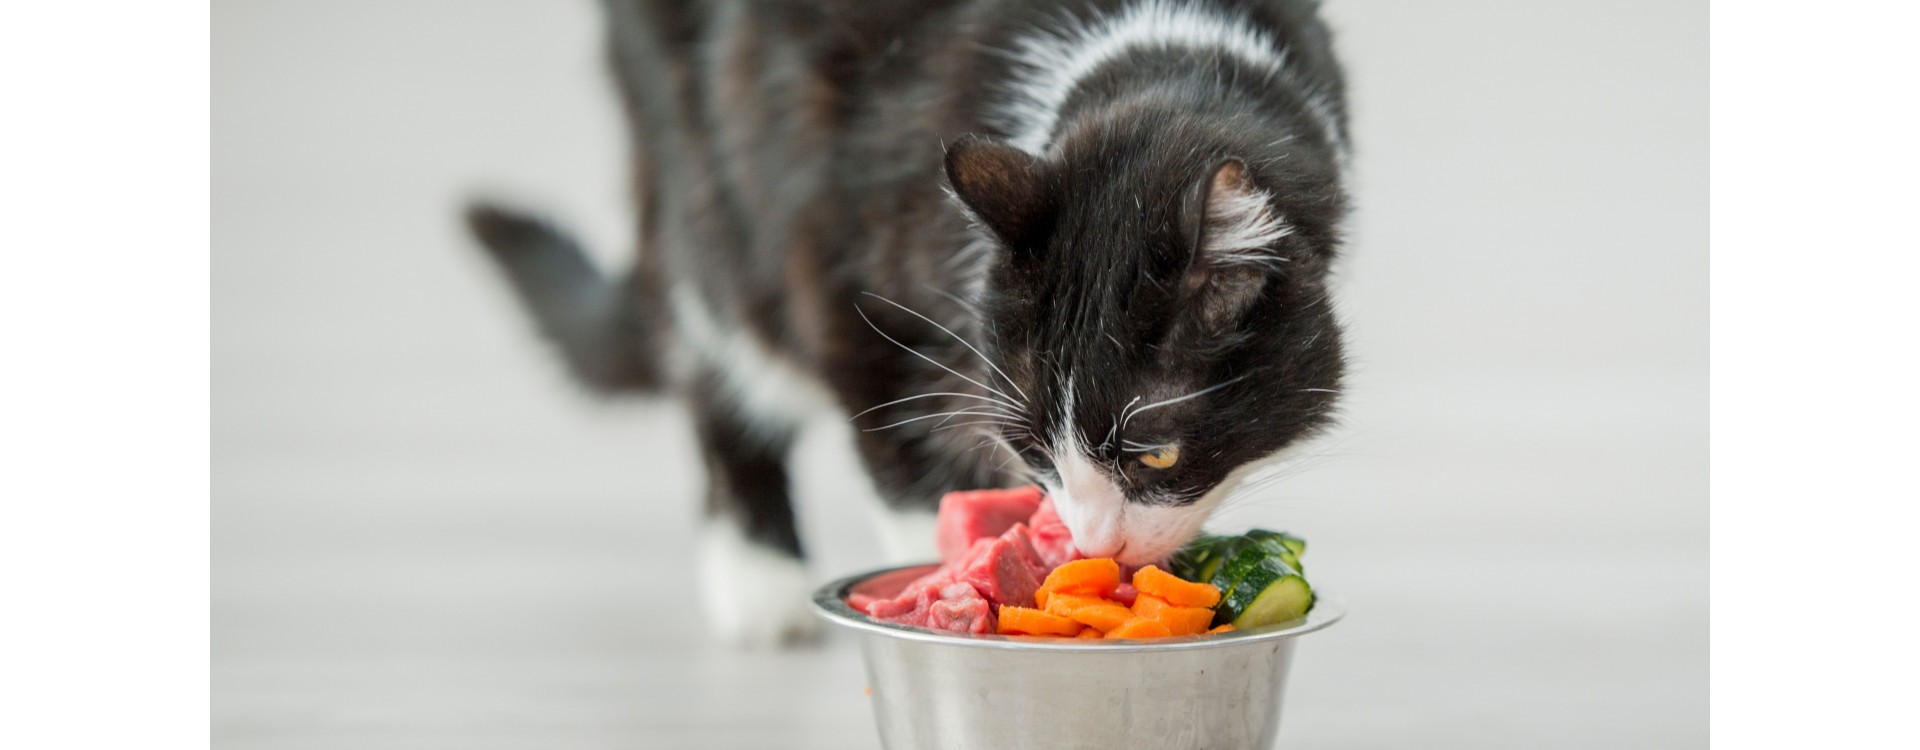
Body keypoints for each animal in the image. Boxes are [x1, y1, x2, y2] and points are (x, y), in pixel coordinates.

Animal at [464, 0, 1351, 644]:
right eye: (1031, 446)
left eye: (1157, 453)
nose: (1097, 544)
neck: (1167, 56)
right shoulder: (843, 268)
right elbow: (905, 451)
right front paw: (951, 584)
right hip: (700, 153)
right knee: (717, 333)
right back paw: (758, 578)